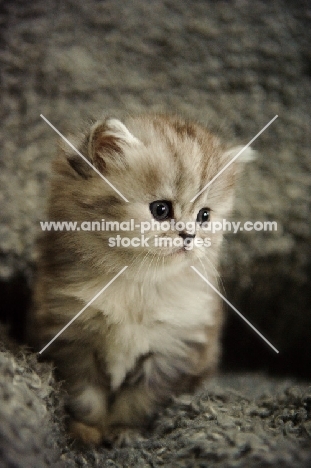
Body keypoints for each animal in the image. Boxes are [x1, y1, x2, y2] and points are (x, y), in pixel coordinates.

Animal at [28, 112, 254, 446]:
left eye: (204, 216)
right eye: (160, 210)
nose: (189, 236)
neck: (137, 282)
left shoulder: (172, 347)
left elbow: (139, 400)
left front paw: (125, 433)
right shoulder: (72, 338)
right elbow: (86, 396)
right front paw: (87, 431)